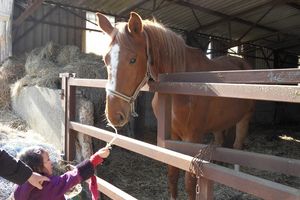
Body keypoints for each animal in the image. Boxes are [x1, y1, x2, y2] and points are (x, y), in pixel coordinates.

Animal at [96, 12, 255, 200]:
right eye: (105, 59)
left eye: (133, 60)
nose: (113, 115)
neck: (180, 85)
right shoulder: (172, 136)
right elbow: (172, 175)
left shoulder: (193, 137)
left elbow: (189, 182)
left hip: (245, 118)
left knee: (238, 146)